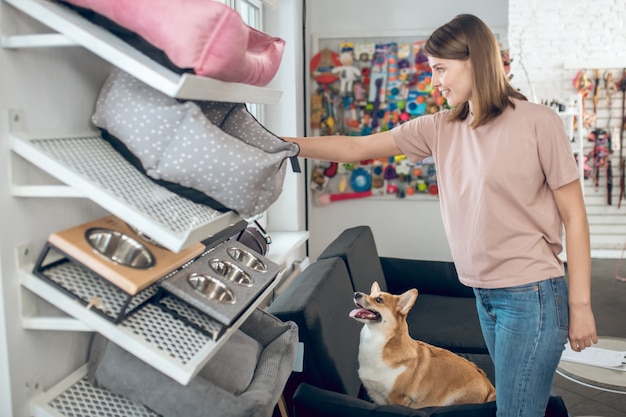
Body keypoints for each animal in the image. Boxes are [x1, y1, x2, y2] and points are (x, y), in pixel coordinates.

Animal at [348, 282, 494, 408]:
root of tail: (490, 389)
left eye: (379, 300)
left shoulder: (397, 398)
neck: (376, 340)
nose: (356, 293)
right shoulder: (377, 395)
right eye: (370, 294)